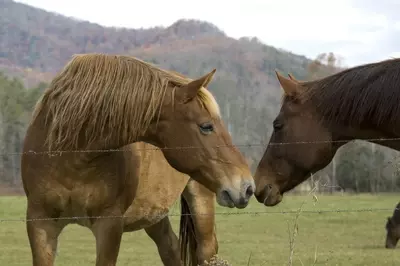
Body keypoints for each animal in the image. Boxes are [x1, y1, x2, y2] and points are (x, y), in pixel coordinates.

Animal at [21, 53, 253, 264]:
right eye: (206, 126)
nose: (248, 187)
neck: (71, 156)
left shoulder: (110, 226)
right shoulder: (40, 222)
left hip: (201, 202)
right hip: (154, 215)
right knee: (171, 249)